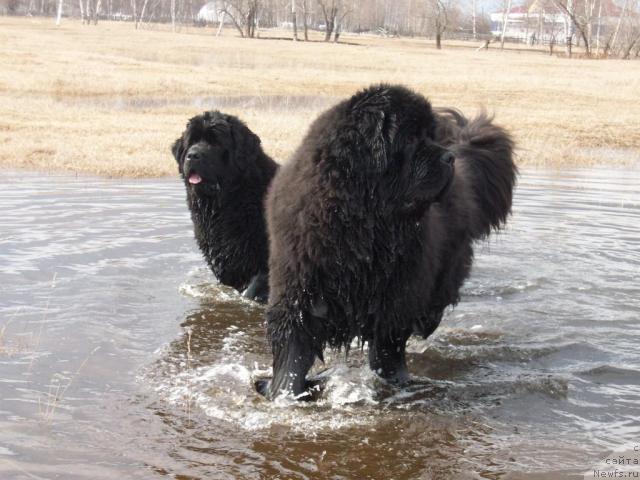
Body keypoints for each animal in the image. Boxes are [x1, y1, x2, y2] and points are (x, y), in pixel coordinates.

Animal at [258, 84, 516, 400]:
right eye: (412, 139)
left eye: (429, 136)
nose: (448, 158)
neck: (361, 225)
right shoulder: (299, 289)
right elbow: (292, 352)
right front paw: (283, 393)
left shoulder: (396, 298)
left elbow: (388, 348)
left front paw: (396, 382)